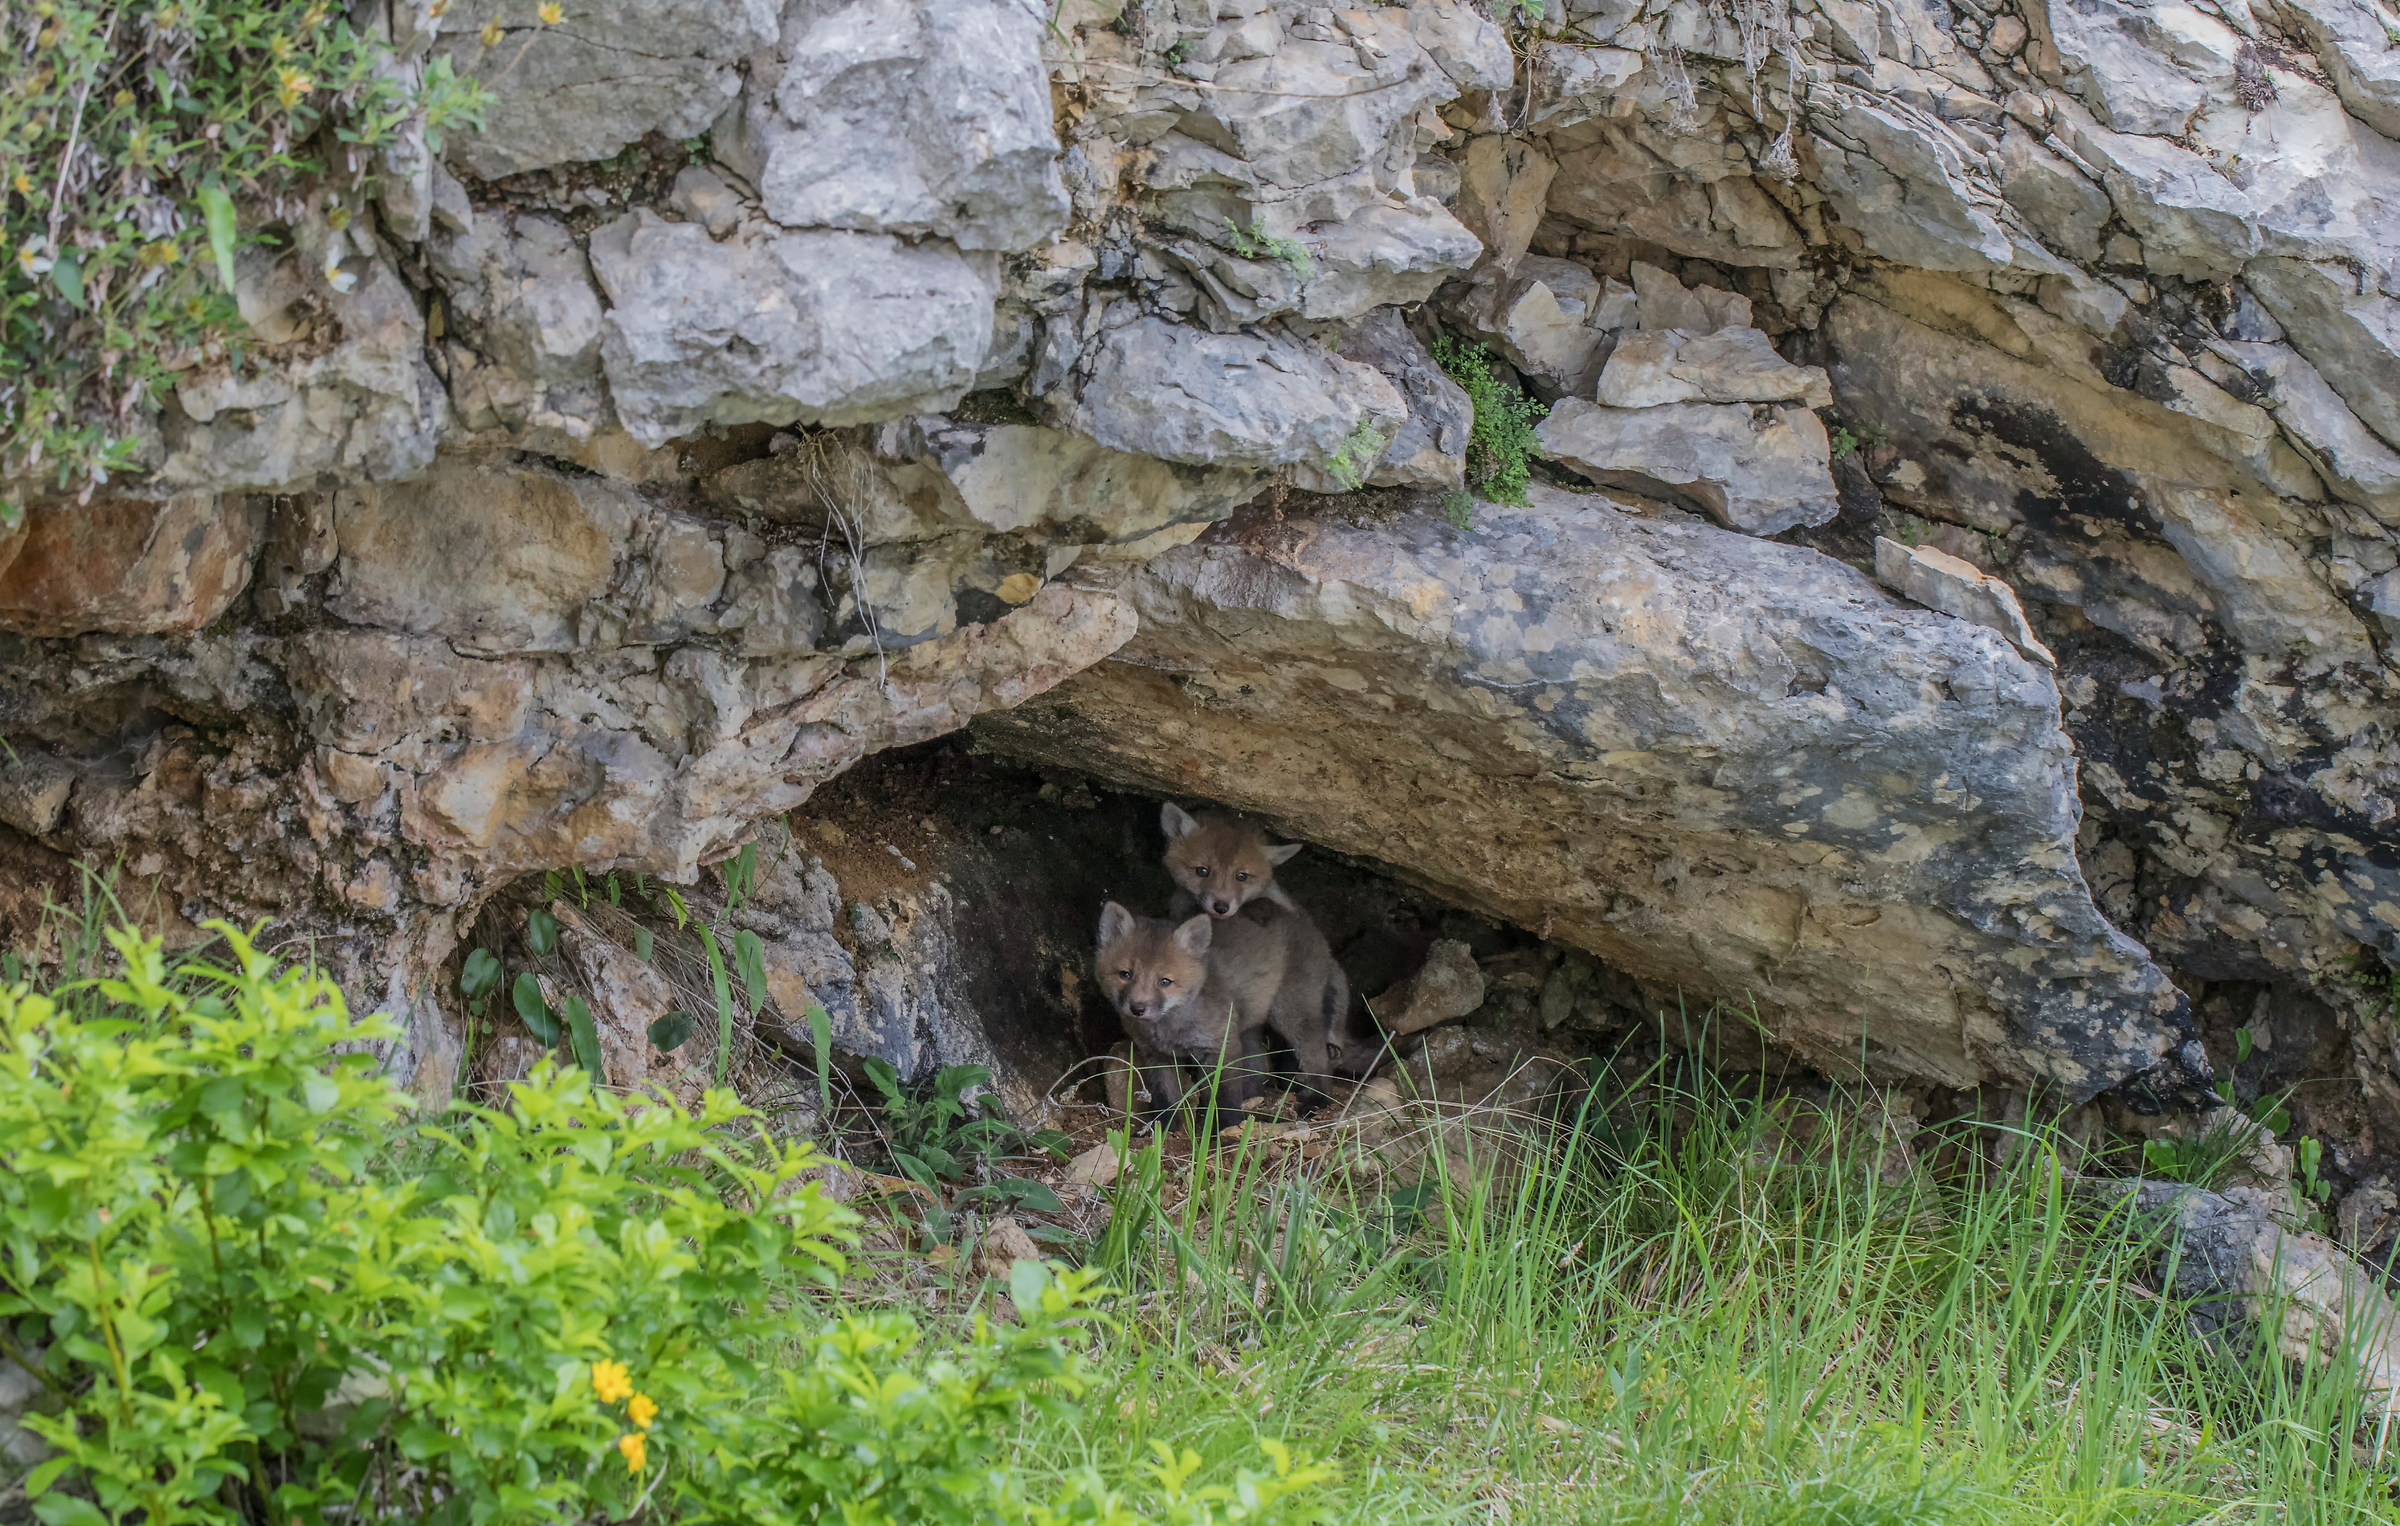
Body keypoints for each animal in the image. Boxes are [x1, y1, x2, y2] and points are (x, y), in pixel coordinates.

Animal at [1095, 900, 1345, 1114]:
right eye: (1125, 975)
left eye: (1164, 981)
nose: (1137, 1008)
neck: (1170, 1028)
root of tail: (1298, 919)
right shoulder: (1156, 1055)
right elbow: (1166, 1098)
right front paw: (1164, 1129)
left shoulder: (1221, 1048)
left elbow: (1224, 1099)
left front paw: (1221, 1130)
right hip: (1247, 1026)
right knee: (1258, 1067)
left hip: (1291, 1015)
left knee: (1318, 1060)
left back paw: (1318, 1098)